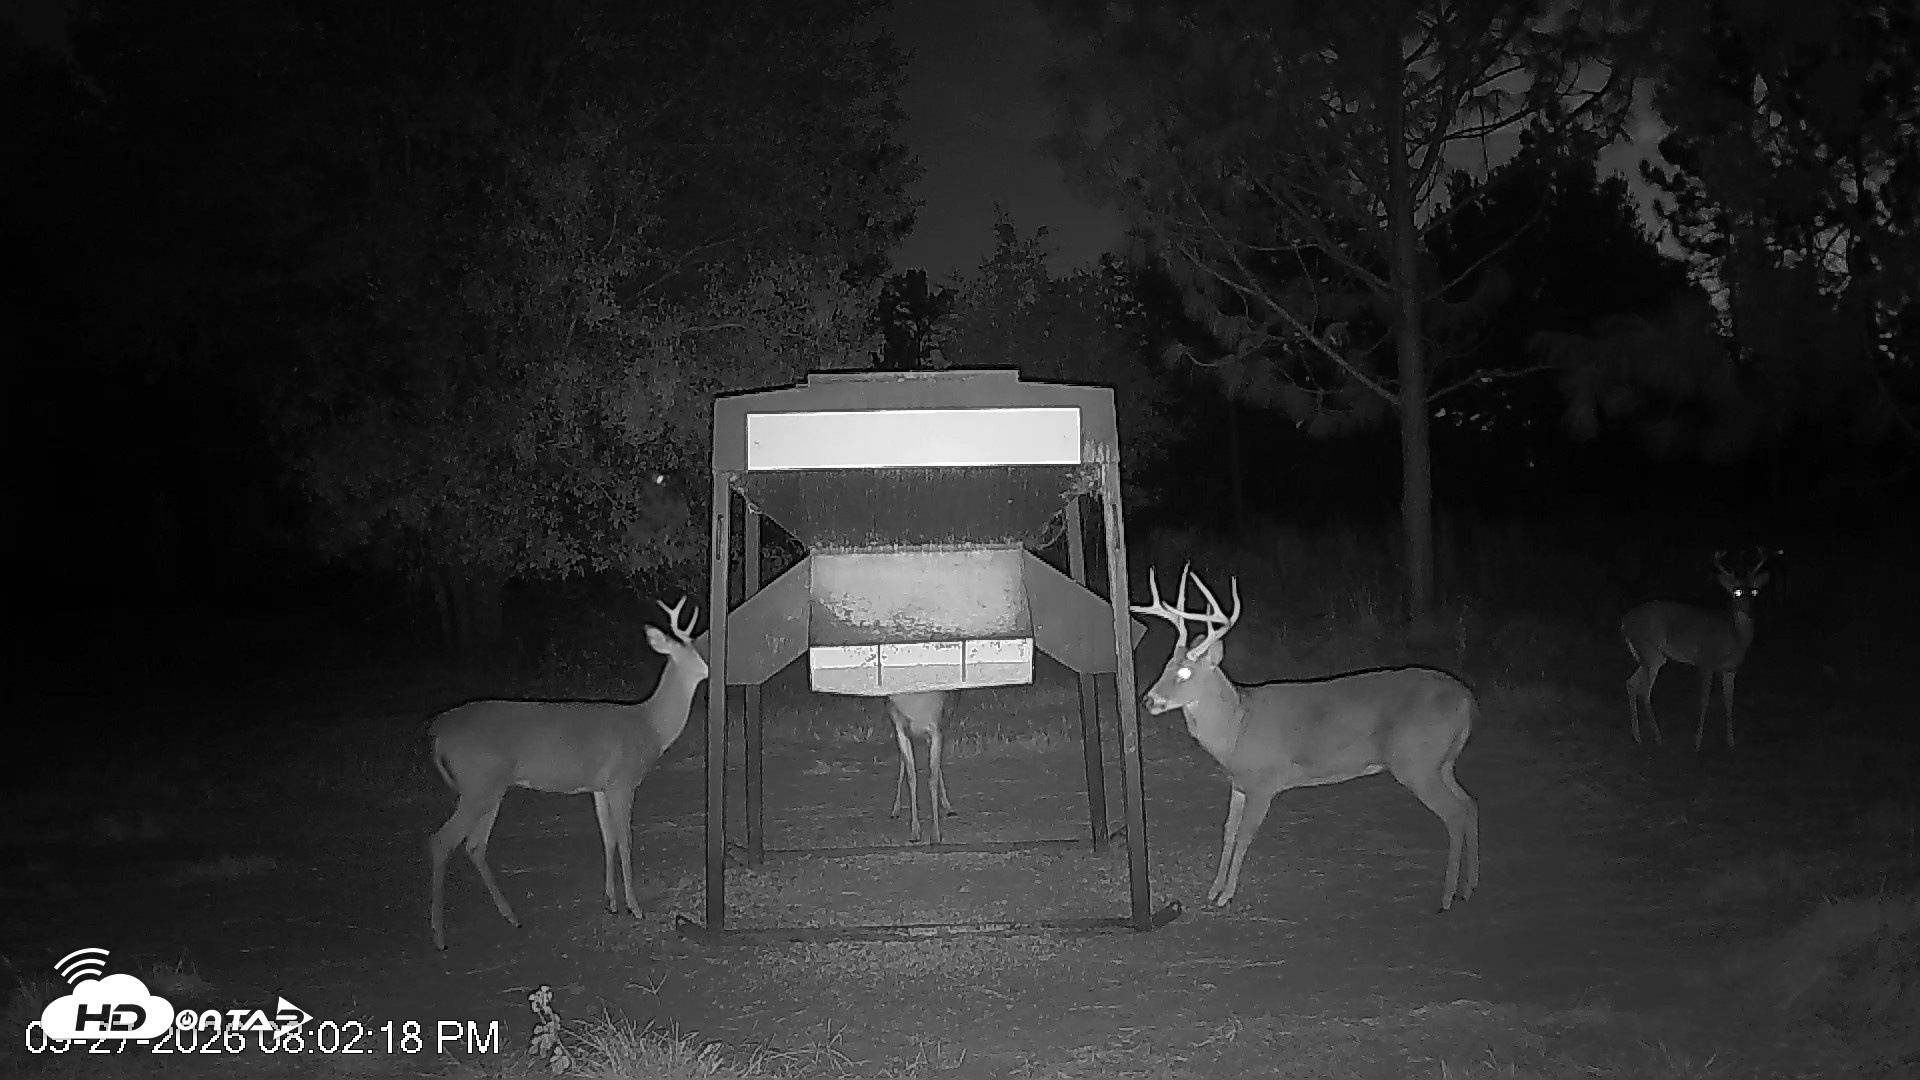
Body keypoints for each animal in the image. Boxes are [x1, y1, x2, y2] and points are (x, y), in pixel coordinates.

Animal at [426, 597, 708, 950]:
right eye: (687, 651)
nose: (708, 669)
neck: (650, 726)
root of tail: (438, 732)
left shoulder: (600, 787)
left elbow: (608, 839)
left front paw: (611, 902)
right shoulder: (623, 781)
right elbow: (625, 840)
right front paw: (635, 907)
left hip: (488, 788)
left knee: (474, 844)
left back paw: (511, 916)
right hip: (478, 783)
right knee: (441, 841)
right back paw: (439, 936)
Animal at [884, 690, 956, 844]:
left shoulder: (936, 730)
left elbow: (932, 779)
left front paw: (935, 834)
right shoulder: (901, 730)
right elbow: (911, 777)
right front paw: (915, 832)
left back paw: (948, 806)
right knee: (903, 762)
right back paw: (895, 809)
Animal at [1131, 565, 1479, 913]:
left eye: (1185, 673)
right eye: (1167, 665)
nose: (1149, 700)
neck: (1236, 728)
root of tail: (1467, 699)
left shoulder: (1265, 781)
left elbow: (1244, 836)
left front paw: (1227, 894)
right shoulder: (1239, 783)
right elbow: (1228, 832)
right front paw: (1214, 889)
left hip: (1416, 761)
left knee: (1454, 812)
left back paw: (1447, 897)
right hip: (1441, 762)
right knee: (1469, 804)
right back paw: (1468, 887)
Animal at [1621, 548, 1775, 753]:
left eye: (1755, 591)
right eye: (1737, 592)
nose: (1748, 611)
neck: (1733, 638)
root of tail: (1624, 622)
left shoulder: (1731, 669)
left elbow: (1729, 702)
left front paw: (1731, 743)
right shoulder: (1705, 660)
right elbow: (1704, 701)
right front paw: (1697, 744)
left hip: (1653, 656)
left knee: (1631, 683)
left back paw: (1638, 737)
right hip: (1649, 650)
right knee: (1644, 691)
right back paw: (1658, 738)